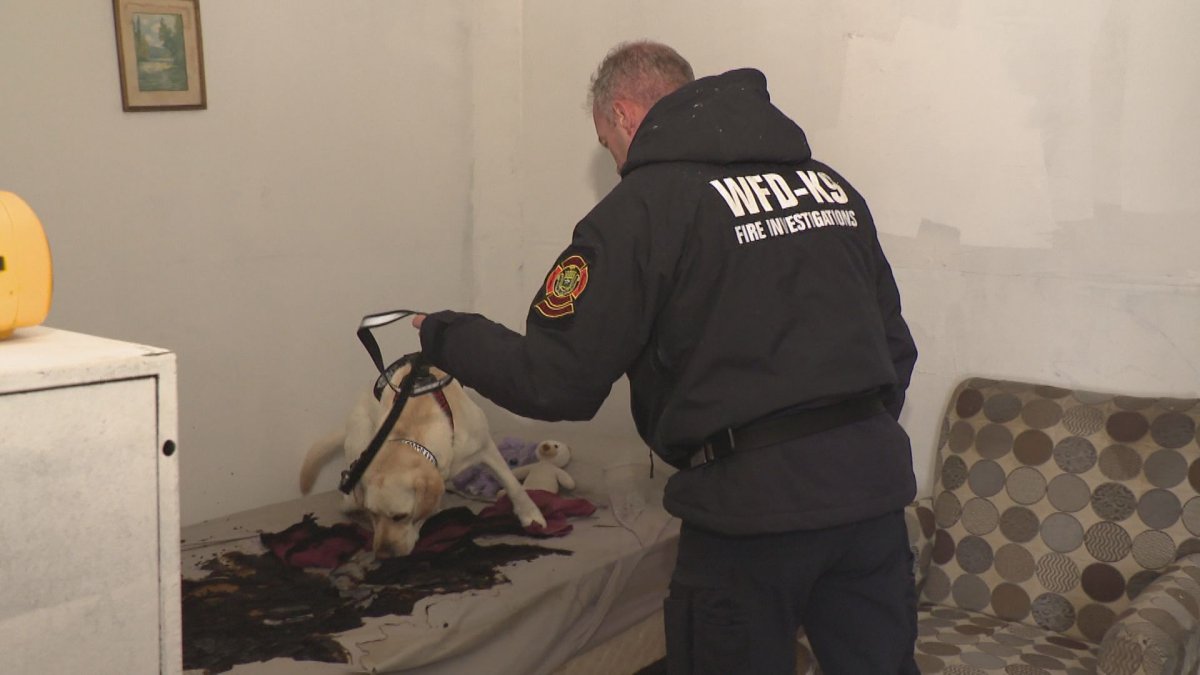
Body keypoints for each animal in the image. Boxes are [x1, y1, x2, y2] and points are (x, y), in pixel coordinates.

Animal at [300, 362, 549, 557]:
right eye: (373, 514)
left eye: (400, 517)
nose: (382, 555)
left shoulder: (485, 447)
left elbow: (513, 484)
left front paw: (530, 515)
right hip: (360, 445)